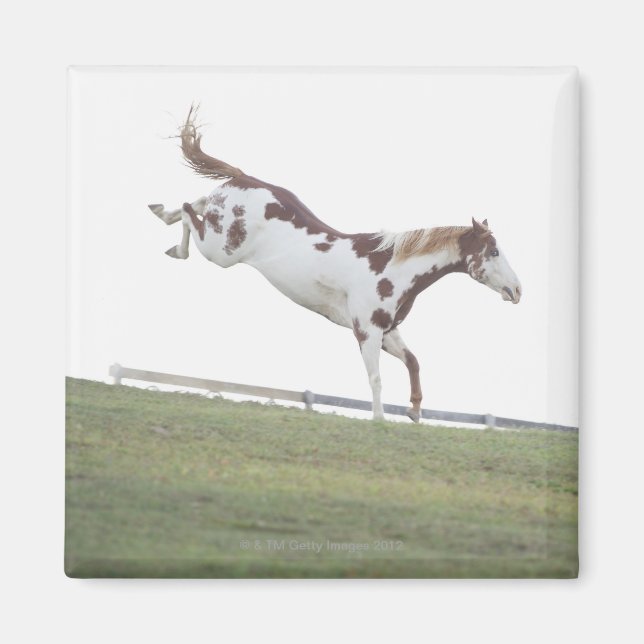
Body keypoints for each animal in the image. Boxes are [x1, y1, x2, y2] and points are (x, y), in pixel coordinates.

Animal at [149, 107, 522, 422]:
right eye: (492, 251)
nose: (517, 290)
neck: (391, 267)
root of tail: (245, 179)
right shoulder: (366, 330)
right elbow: (375, 377)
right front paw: (380, 420)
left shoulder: (387, 331)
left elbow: (413, 361)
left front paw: (415, 411)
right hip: (220, 251)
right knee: (189, 211)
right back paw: (174, 245)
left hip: (219, 228)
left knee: (197, 202)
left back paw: (160, 211)